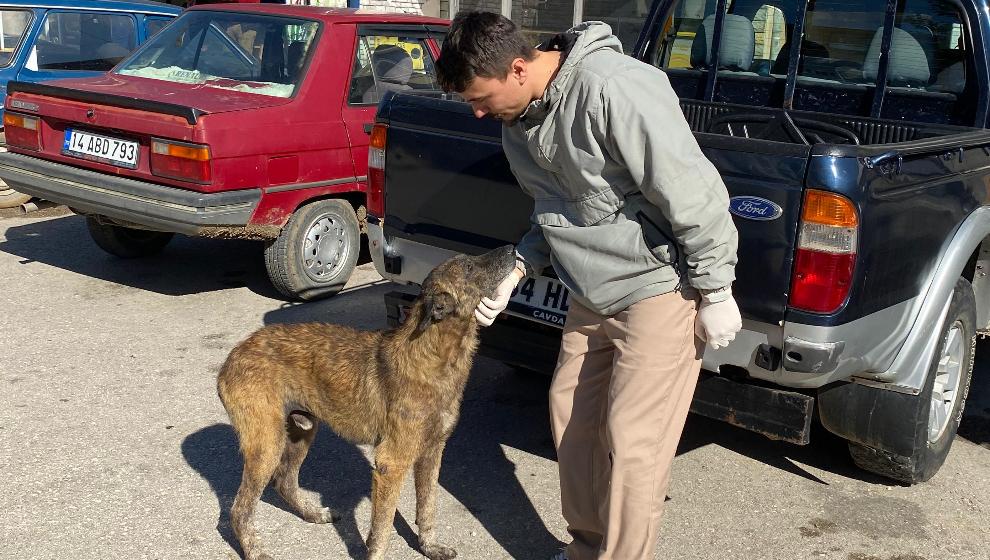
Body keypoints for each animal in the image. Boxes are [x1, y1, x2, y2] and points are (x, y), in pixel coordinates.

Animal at [218, 246, 520, 560]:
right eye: (470, 267)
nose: (513, 249)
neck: (432, 356)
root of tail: (234, 355)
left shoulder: (432, 452)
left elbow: (427, 507)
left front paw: (429, 546)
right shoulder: (391, 464)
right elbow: (383, 529)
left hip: (301, 431)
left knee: (285, 482)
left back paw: (313, 514)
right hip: (266, 446)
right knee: (239, 509)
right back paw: (255, 551)